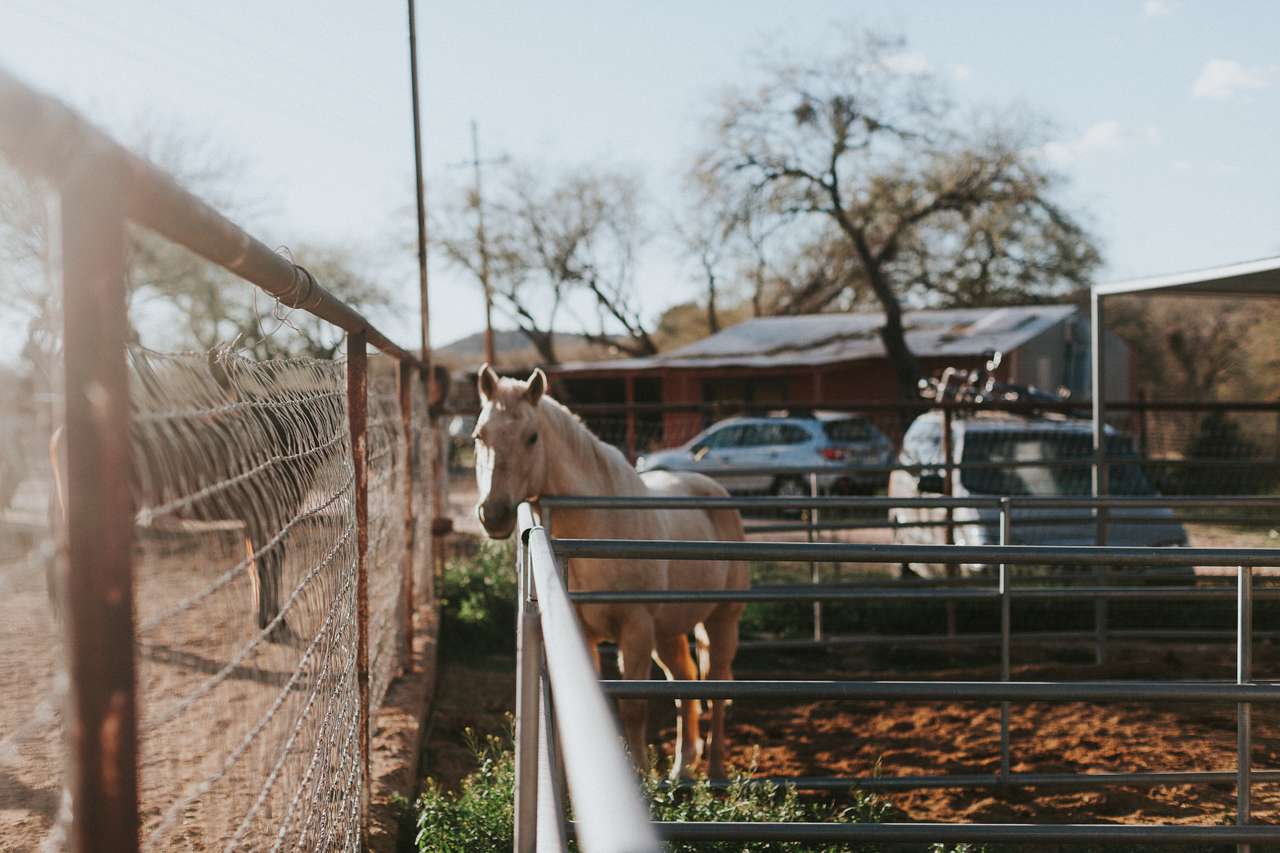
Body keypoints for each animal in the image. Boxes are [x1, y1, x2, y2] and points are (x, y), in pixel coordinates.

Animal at [472, 364, 749, 778]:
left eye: (531, 437)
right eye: (479, 436)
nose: (493, 514)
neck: (598, 524)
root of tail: (714, 490)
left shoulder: (635, 629)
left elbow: (633, 707)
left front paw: (642, 776)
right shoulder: (585, 633)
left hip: (720, 621)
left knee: (715, 686)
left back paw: (714, 770)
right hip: (669, 632)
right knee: (684, 681)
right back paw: (683, 767)